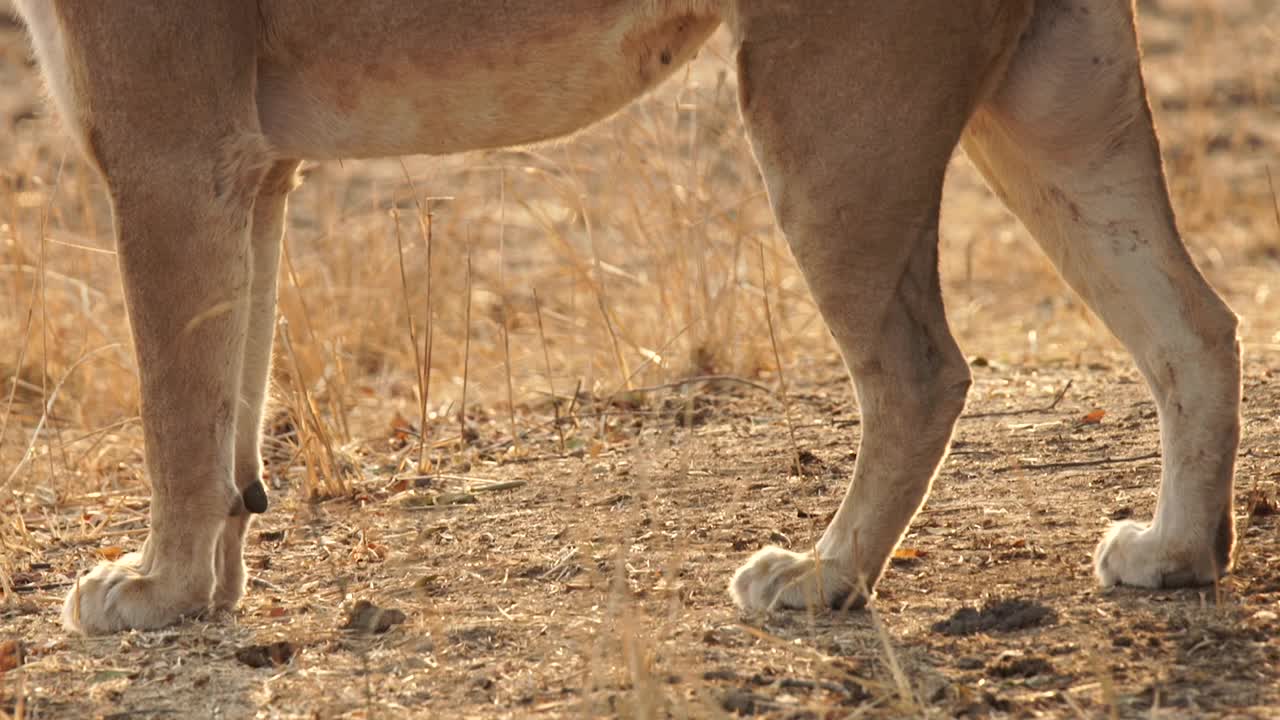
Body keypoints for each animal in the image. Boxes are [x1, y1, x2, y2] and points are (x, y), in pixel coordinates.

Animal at [15, 0, 1239, 632]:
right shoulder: (253, 165)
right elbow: (231, 396)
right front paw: (209, 587)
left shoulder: (172, 150)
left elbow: (176, 406)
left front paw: (156, 592)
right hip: (1057, 99)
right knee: (1196, 324)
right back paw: (1176, 556)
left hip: (829, 106)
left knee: (921, 369)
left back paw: (822, 577)